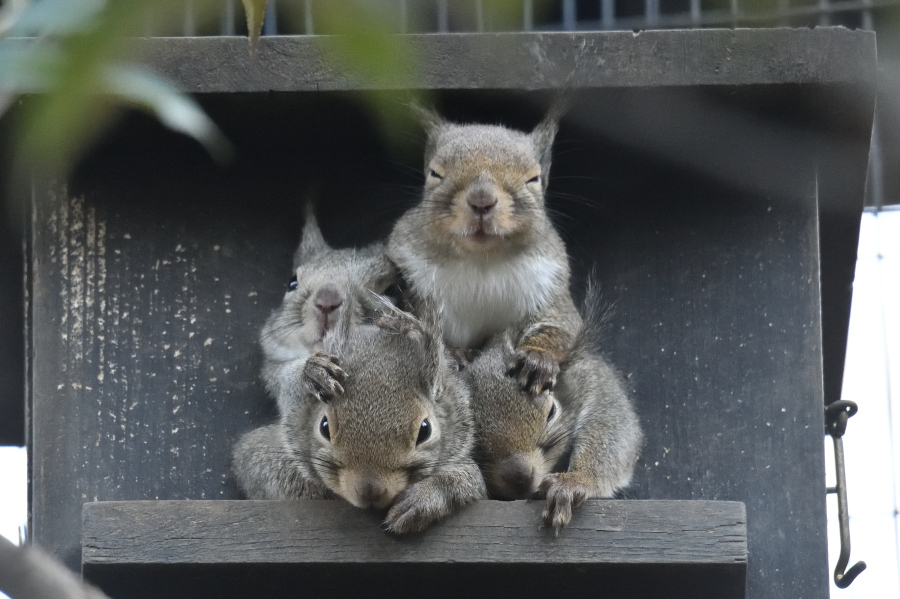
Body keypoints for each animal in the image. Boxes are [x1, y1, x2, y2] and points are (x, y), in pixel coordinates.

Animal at [232, 292, 486, 532]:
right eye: (324, 427)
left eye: (425, 431)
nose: (370, 491)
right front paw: (314, 371)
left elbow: (468, 480)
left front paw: (421, 500)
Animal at [258, 210, 396, 418]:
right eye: (292, 283)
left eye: (390, 290)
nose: (326, 300)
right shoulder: (274, 374)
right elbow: (286, 384)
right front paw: (312, 371)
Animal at [390, 105, 580, 396]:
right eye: (435, 173)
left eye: (534, 178)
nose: (481, 200)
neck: (482, 259)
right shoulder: (410, 270)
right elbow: (421, 325)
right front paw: (452, 353)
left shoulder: (550, 278)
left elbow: (563, 324)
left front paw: (537, 358)